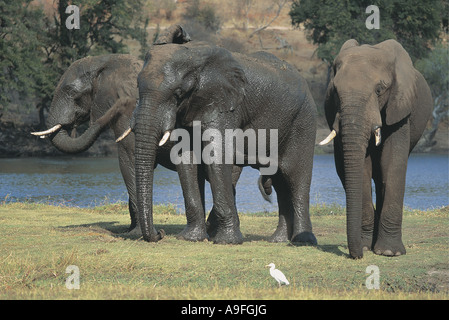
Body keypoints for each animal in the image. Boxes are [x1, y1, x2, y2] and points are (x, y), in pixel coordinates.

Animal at [133, 40, 318, 245]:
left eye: (178, 93)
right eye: (137, 87)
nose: (160, 233)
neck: (196, 57)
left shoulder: (225, 105)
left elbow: (217, 155)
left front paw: (227, 241)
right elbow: (186, 158)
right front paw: (190, 238)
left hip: (303, 121)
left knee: (296, 177)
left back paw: (304, 241)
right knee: (280, 181)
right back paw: (278, 241)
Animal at [316, 39, 432, 260]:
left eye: (379, 90)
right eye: (335, 92)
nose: (357, 255)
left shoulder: (399, 108)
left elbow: (393, 163)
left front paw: (389, 252)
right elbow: (360, 169)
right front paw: (365, 247)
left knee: (382, 177)